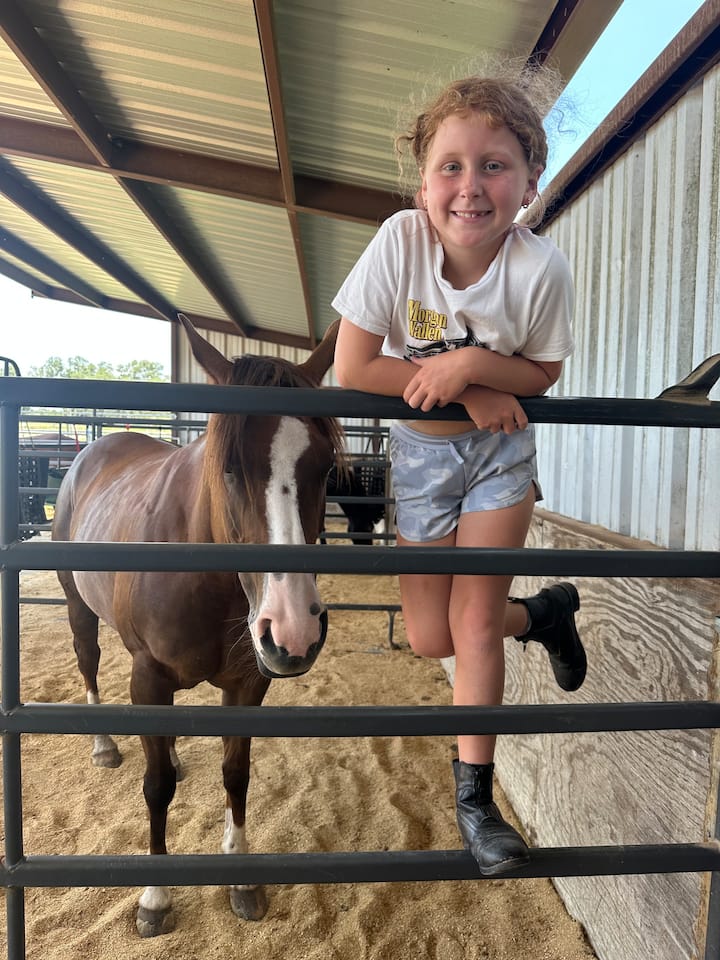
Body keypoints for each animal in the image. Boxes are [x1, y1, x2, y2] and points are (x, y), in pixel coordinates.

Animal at [52, 315, 344, 937]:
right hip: (78, 608)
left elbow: (236, 773)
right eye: (229, 465)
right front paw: (155, 897)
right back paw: (104, 747)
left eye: (325, 466)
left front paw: (241, 880)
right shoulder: (149, 677)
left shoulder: (247, 685)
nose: (294, 630)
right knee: (88, 662)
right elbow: (156, 787)